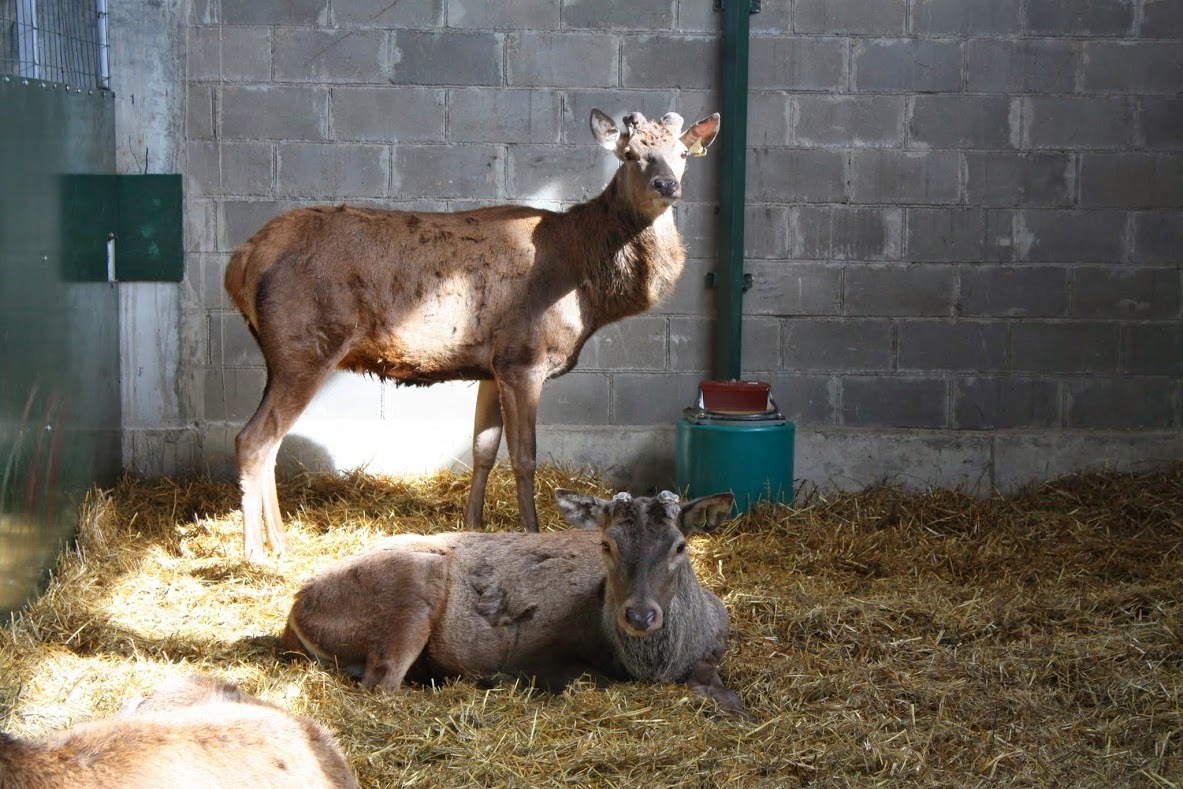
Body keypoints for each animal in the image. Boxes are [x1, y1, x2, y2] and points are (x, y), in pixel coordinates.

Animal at [222, 108, 719, 560]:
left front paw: (473, 524)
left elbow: (482, 449)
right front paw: (532, 530)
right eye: (631, 154)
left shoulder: (491, 366)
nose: (667, 185)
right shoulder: (523, 358)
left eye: (681, 154)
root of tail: (241, 261)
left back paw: (280, 544)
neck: (588, 290)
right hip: (306, 346)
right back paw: (257, 553)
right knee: (253, 440)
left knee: (271, 443)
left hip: (281, 356)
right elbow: (524, 455)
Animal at [283, 487, 747, 714]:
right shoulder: (545, 656)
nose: (639, 614)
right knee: (380, 685)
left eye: (680, 545)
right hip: (410, 590)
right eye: (607, 544)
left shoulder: (718, 636)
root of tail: (294, 612)